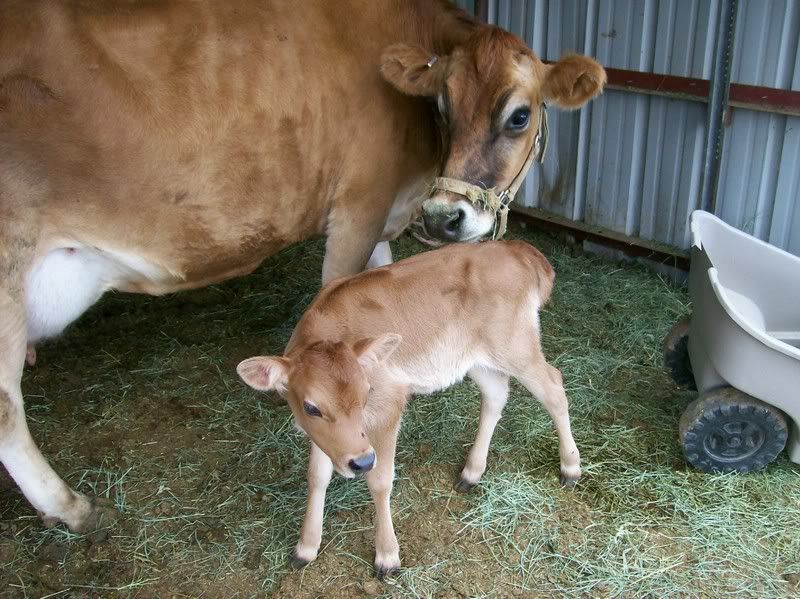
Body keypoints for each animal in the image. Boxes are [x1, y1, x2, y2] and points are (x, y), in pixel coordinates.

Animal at [0, 0, 605, 533]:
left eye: (519, 115)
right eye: (443, 107)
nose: (443, 217)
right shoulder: (360, 204)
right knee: (8, 410)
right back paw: (72, 507)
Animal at [237, 240, 579, 577]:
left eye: (367, 393)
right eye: (311, 407)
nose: (360, 462)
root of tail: (518, 249)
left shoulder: (389, 405)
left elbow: (380, 480)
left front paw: (387, 555)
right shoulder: (329, 437)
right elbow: (317, 476)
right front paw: (306, 547)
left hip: (516, 346)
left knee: (554, 387)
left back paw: (570, 467)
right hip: (476, 359)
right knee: (496, 396)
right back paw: (472, 471)